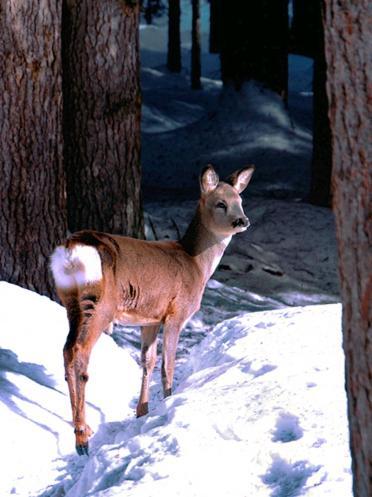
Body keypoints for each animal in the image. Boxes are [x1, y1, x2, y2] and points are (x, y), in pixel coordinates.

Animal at [50, 164, 253, 454]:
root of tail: (72, 249)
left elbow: (148, 361)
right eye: (221, 203)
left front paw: (142, 411)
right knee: (80, 351)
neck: (195, 265)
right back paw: (82, 438)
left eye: (240, 201)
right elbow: (168, 364)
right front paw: (168, 403)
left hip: (69, 299)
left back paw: (82, 429)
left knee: (66, 349)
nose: (242, 221)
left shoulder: (150, 319)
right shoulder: (176, 312)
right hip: (100, 302)